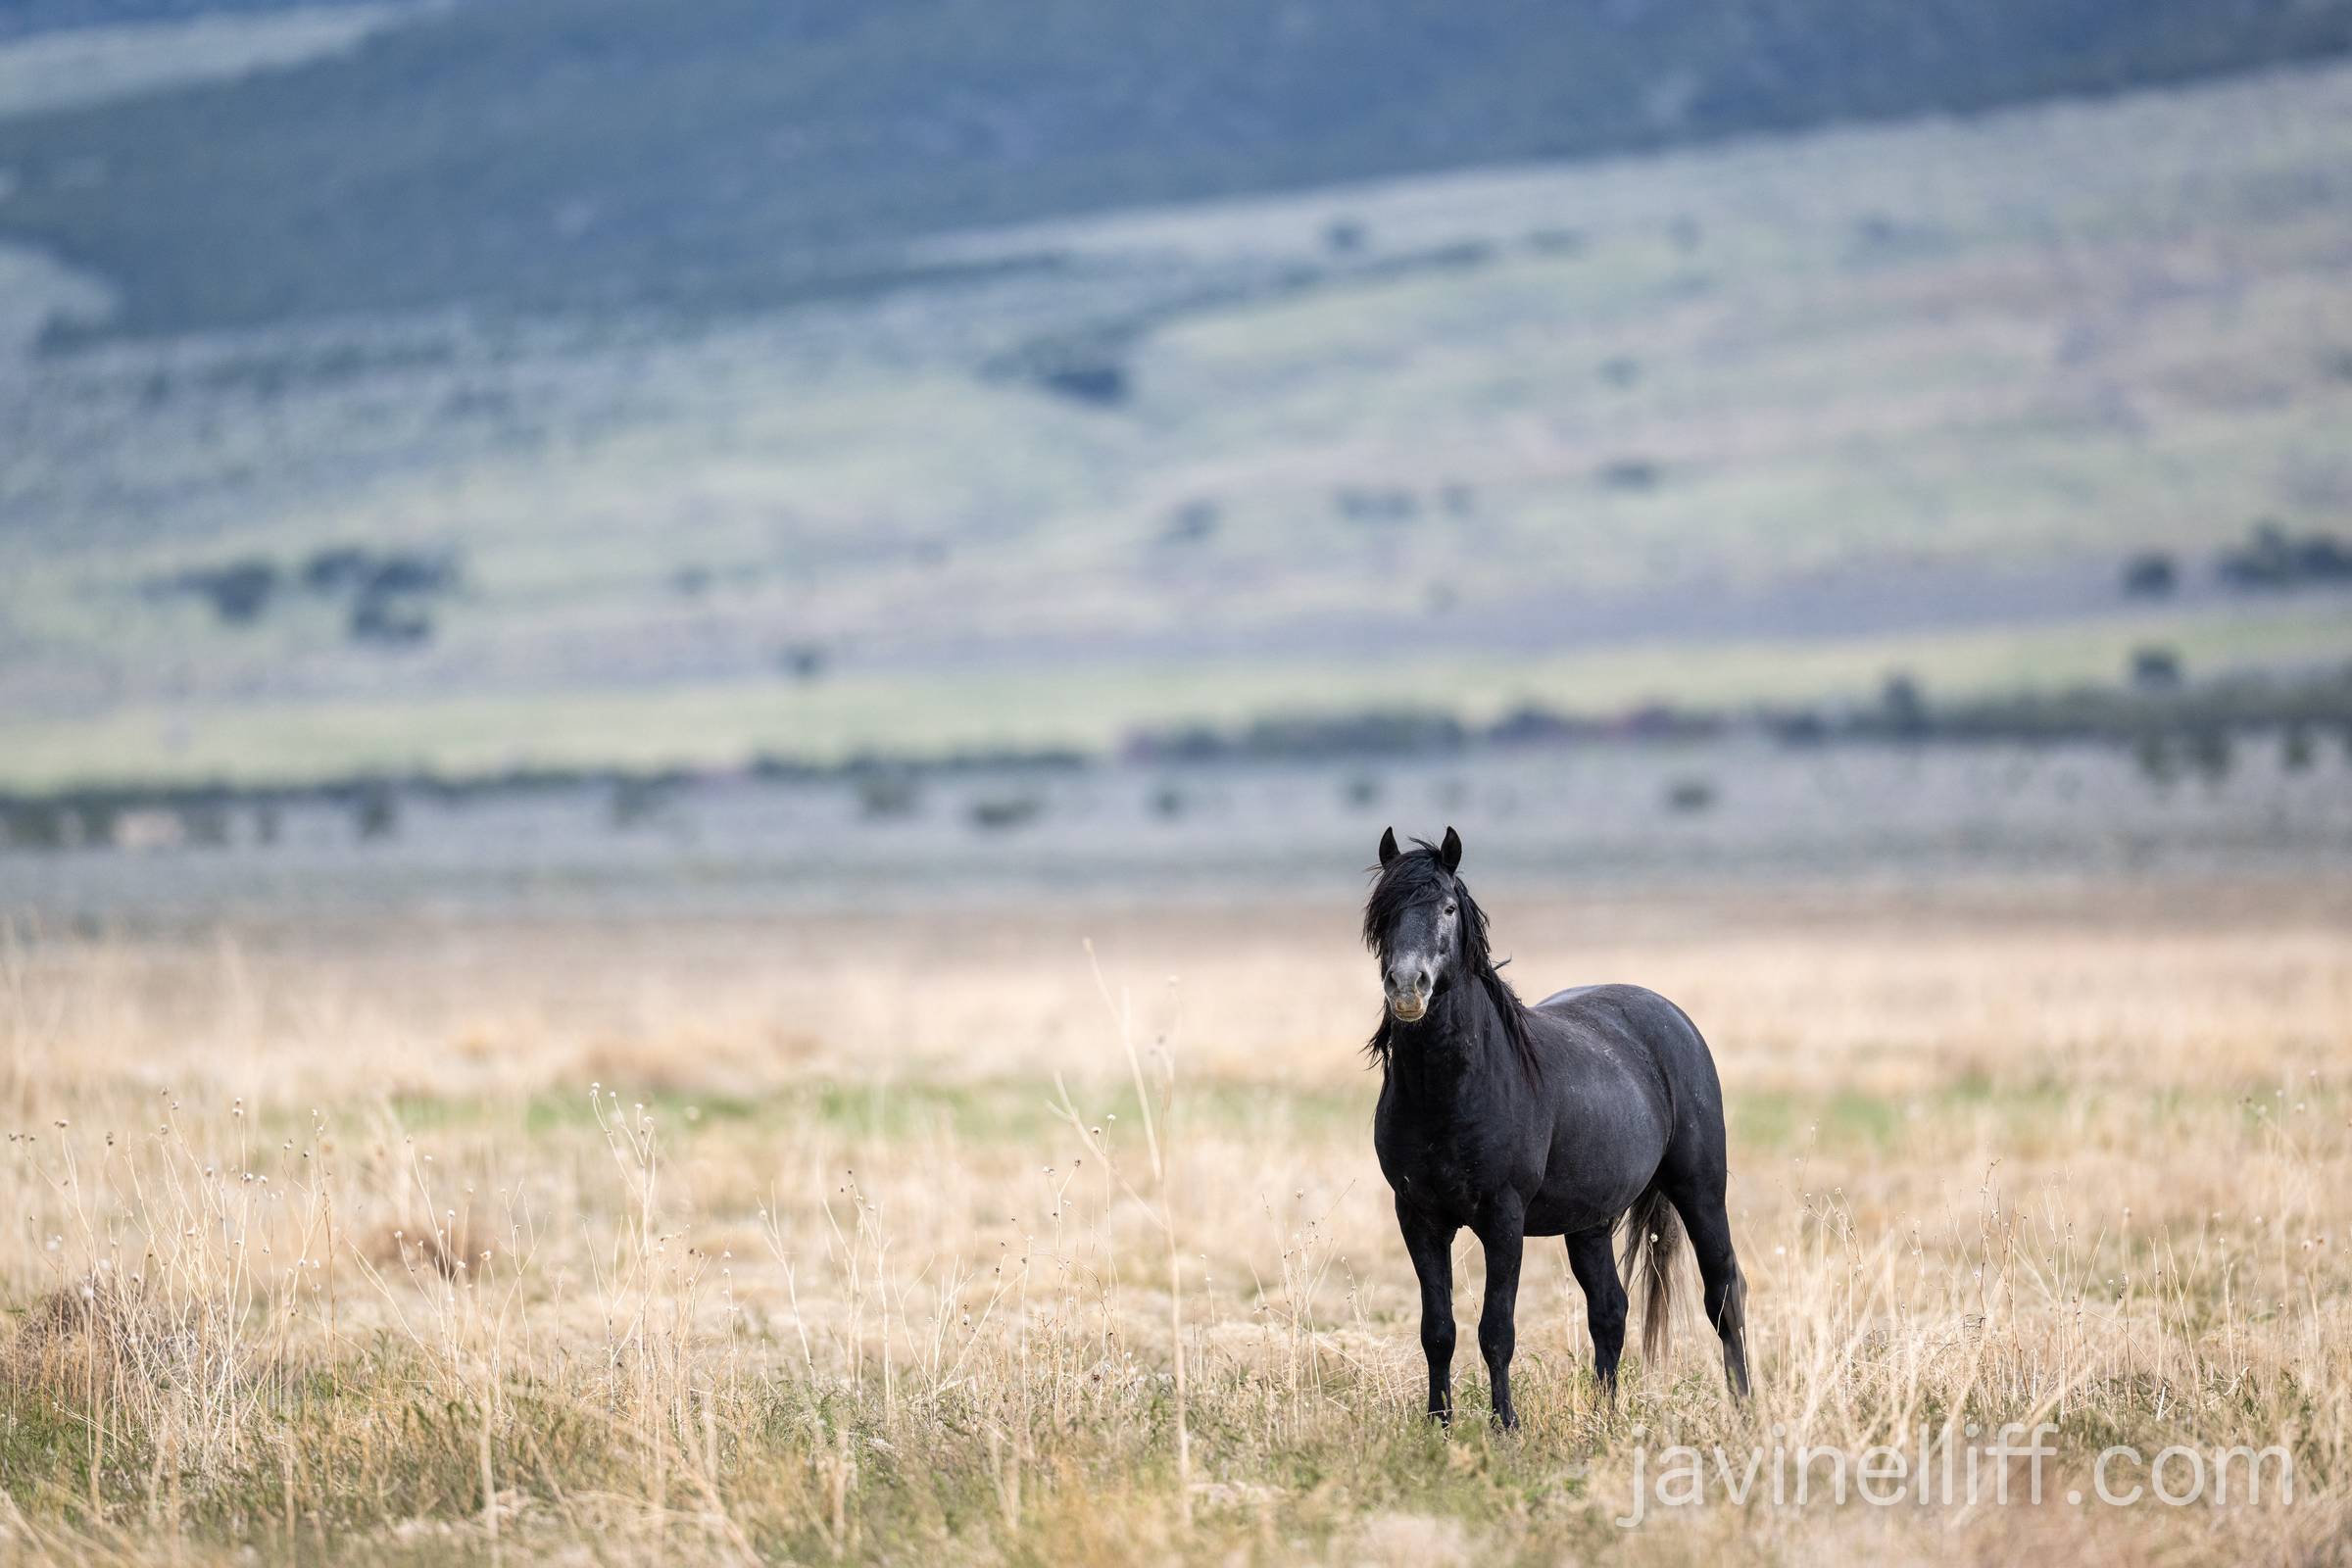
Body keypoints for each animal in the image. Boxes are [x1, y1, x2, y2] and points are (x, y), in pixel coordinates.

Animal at [1364, 826, 1750, 1427]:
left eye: (1448, 907)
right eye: (1383, 915)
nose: (1407, 985)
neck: (1449, 1095)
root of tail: (1673, 1018)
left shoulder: (1503, 1218)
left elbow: (1496, 1331)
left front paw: (1504, 1425)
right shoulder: (1419, 1218)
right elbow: (1438, 1332)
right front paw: (1438, 1425)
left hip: (1700, 1190)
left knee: (1725, 1294)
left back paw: (1744, 1408)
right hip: (1590, 1220)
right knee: (1610, 1309)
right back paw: (1605, 1416)